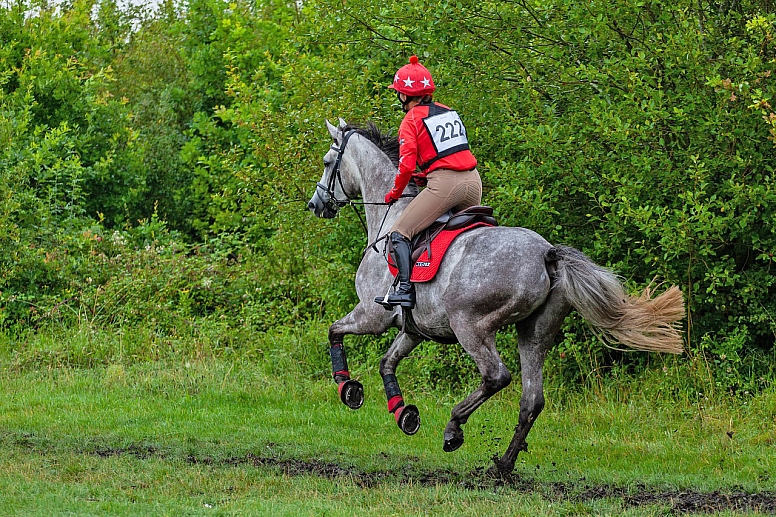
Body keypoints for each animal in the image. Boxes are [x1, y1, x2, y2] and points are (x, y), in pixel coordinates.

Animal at [306, 119, 684, 474]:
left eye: (327, 162)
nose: (316, 204)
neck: (392, 217)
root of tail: (547, 254)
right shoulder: (414, 329)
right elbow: (387, 362)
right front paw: (403, 413)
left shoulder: (374, 317)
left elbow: (334, 331)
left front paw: (348, 388)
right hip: (534, 331)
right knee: (532, 399)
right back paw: (503, 464)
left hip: (470, 326)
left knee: (496, 376)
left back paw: (454, 428)